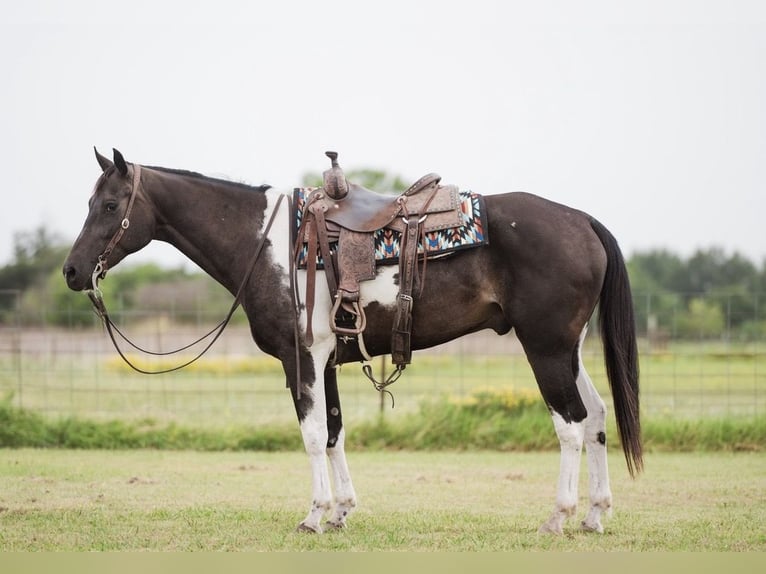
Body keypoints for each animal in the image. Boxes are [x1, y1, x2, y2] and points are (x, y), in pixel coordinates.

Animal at [63, 148, 641, 535]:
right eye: (90, 202)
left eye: (110, 205)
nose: (71, 271)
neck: (266, 244)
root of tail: (581, 221)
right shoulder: (328, 363)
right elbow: (335, 434)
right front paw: (340, 511)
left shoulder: (301, 359)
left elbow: (313, 435)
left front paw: (313, 515)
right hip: (570, 351)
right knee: (596, 418)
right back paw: (595, 515)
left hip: (544, 349)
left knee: (570, 424)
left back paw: (558, 516)